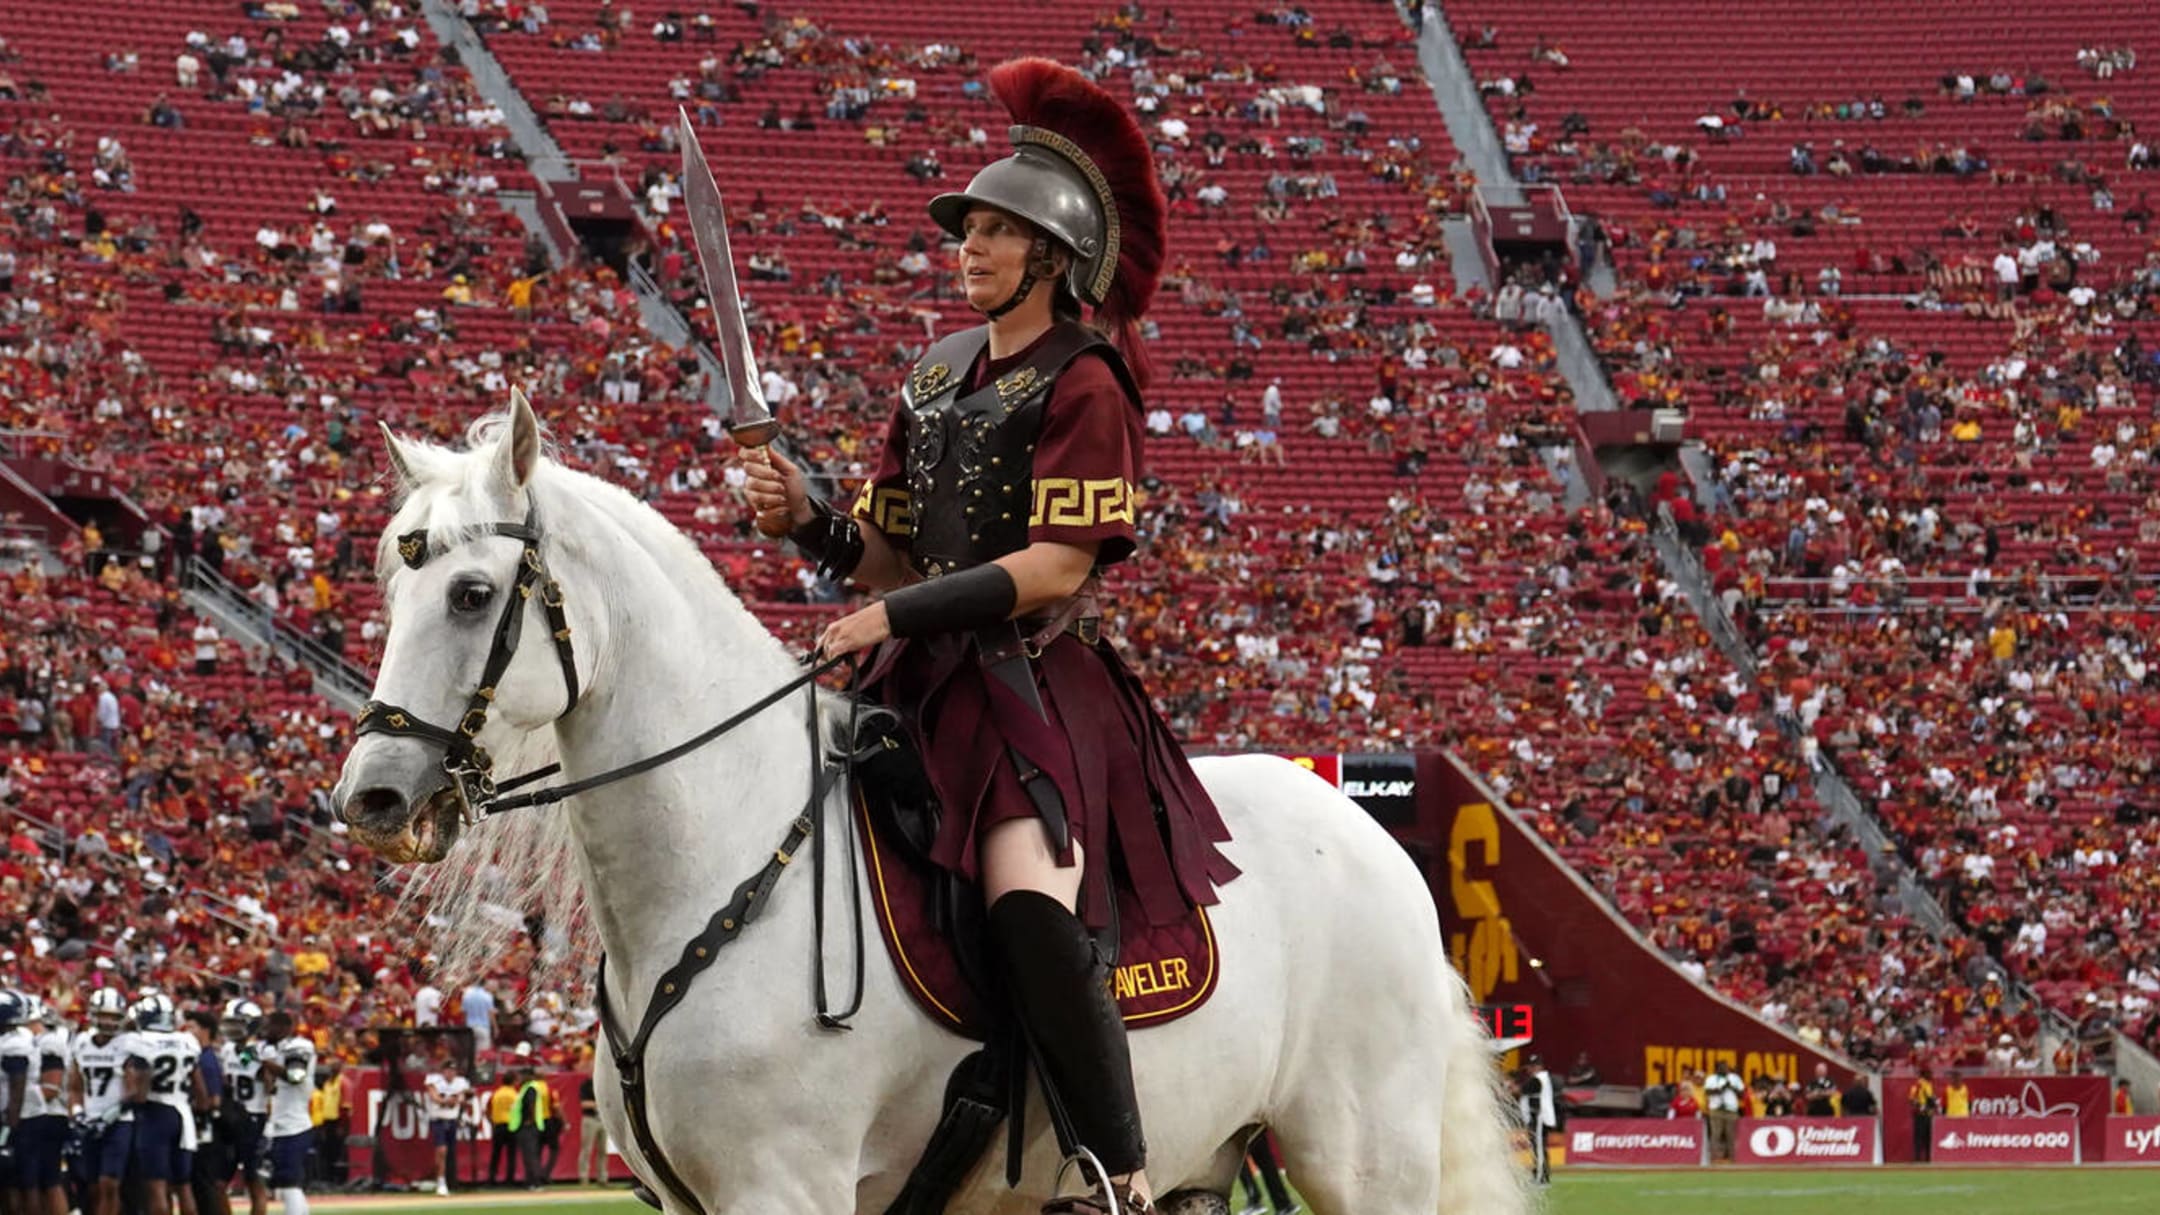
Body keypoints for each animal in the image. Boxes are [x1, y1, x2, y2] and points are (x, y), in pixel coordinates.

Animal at [328, 393, 1529, 1202]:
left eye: (472, 592)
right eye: (392, 584)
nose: (371, 798)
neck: (724, 864)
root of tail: (1372, 834)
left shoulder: (785, 1187)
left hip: (1366, 1161)